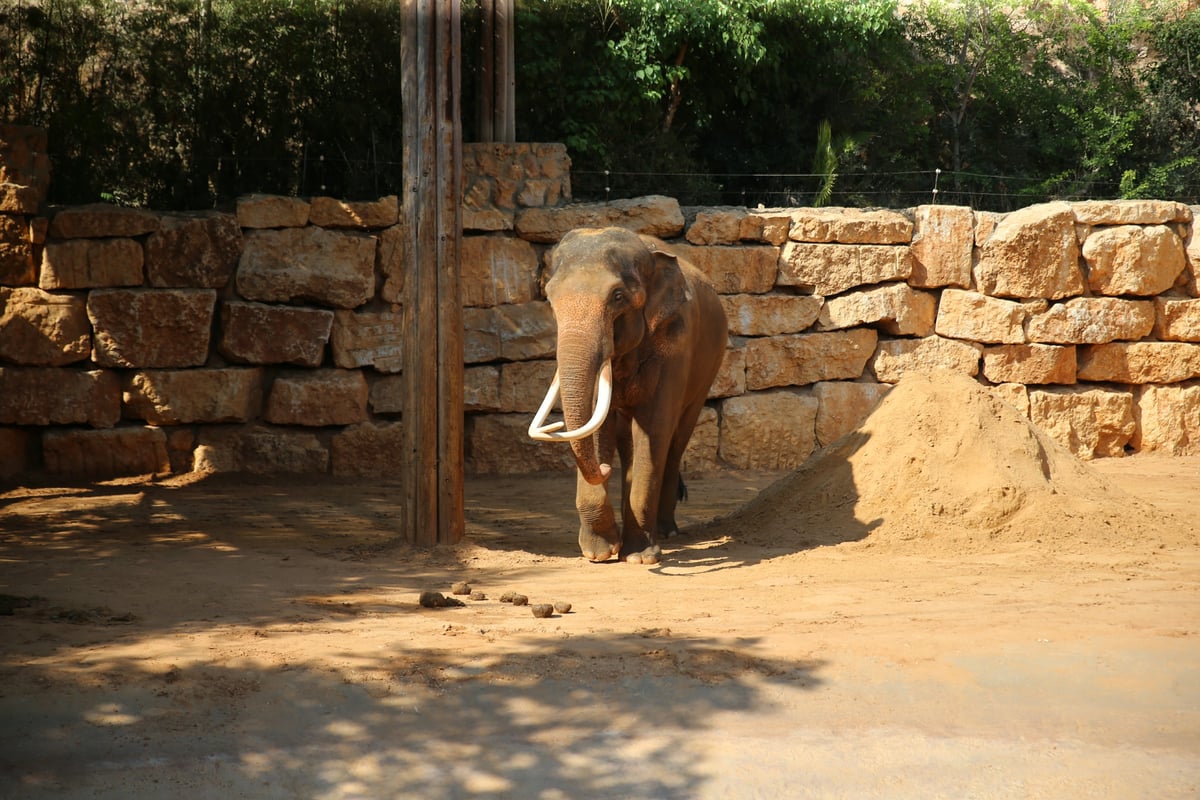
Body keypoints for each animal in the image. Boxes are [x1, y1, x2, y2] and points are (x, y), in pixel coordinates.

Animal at [530, 225, 724, 563]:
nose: (604, 469)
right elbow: (597, 426)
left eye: (617, 296)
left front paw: (641, 557)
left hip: (707, 370)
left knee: (676, 438)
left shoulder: (676, 342)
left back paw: (667, 532)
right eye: (550, 300)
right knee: (627, 438)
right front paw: (598, 553)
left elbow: (654, 428)